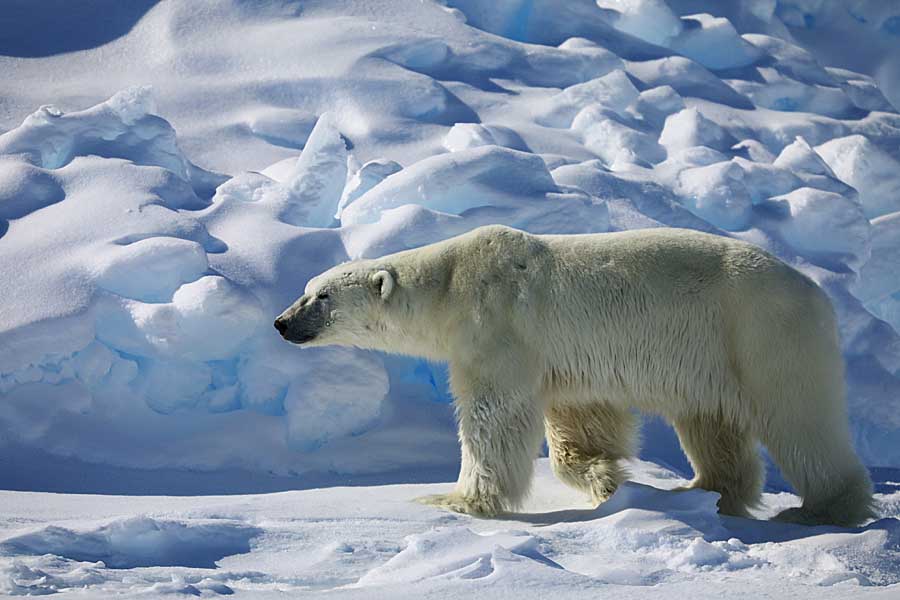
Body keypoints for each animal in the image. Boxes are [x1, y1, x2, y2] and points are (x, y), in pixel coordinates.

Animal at [272, 225, 872, 524]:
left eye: (320, 297)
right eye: (307, 289)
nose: (281, 323)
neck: (452, 281)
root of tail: (817, 293)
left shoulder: (498, 327)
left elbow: (494, 417)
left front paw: (457, 501)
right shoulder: (560, 356)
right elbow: (580, 419)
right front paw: (606, 478)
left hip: (762, 335)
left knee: (800, 420)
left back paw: (822, 509)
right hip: (716, 355)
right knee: (710, 421)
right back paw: (706, 489)